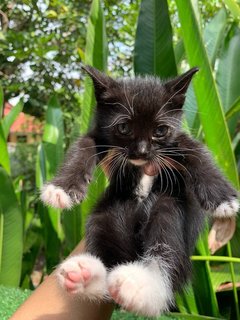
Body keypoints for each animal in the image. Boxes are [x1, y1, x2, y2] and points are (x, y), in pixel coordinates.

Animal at [40, 66, 239, 316]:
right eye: (124, 127)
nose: (142, 152)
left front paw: (222, 197)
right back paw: (85, 276)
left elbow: (196, 150)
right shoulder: (99, 135)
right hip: (106, 212)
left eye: (160, 130)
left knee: (166, 246)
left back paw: (139, 287)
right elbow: (83, 146)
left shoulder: (177, 141)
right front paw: (62, 187)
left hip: (170, 208)